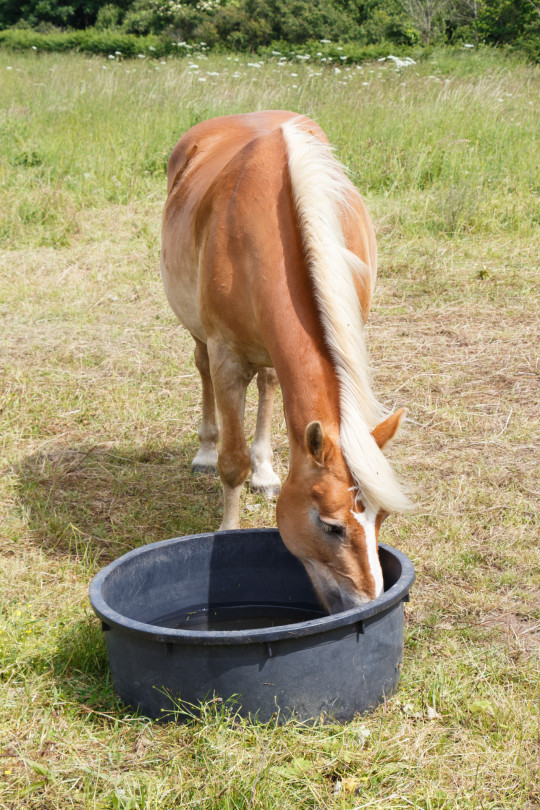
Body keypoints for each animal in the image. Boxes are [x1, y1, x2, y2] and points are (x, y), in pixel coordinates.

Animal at [160, 109, 410, 612]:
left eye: (382, 518)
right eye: (330, 525)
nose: (366, 603)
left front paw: (264, 470)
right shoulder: (226, 356)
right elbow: (231, 462)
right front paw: (226, 534)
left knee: (270, 384)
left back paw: (266, 469)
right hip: (199, 333)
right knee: (202, 371)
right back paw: (204, 450)